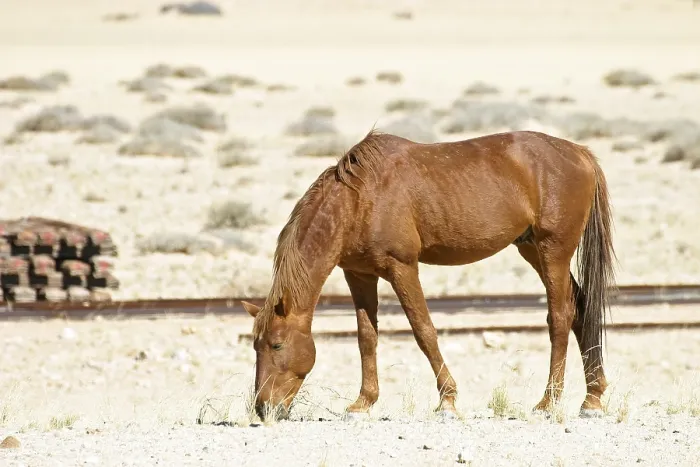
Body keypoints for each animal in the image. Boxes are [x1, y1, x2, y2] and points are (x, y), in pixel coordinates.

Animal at [241, 128, 616, 421]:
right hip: (532, 249)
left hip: (553, 250)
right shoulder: (359, 275)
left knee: (560, 315)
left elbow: (423, 330)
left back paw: (548, 402)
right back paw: (592, 399)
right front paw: (362, 403)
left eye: (276, 344)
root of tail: (580, 154)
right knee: (581, 307)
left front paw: (447, 401)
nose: (263, 409)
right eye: (255, 346)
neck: (358, 199)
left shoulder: (402, 267)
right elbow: (366, 337)